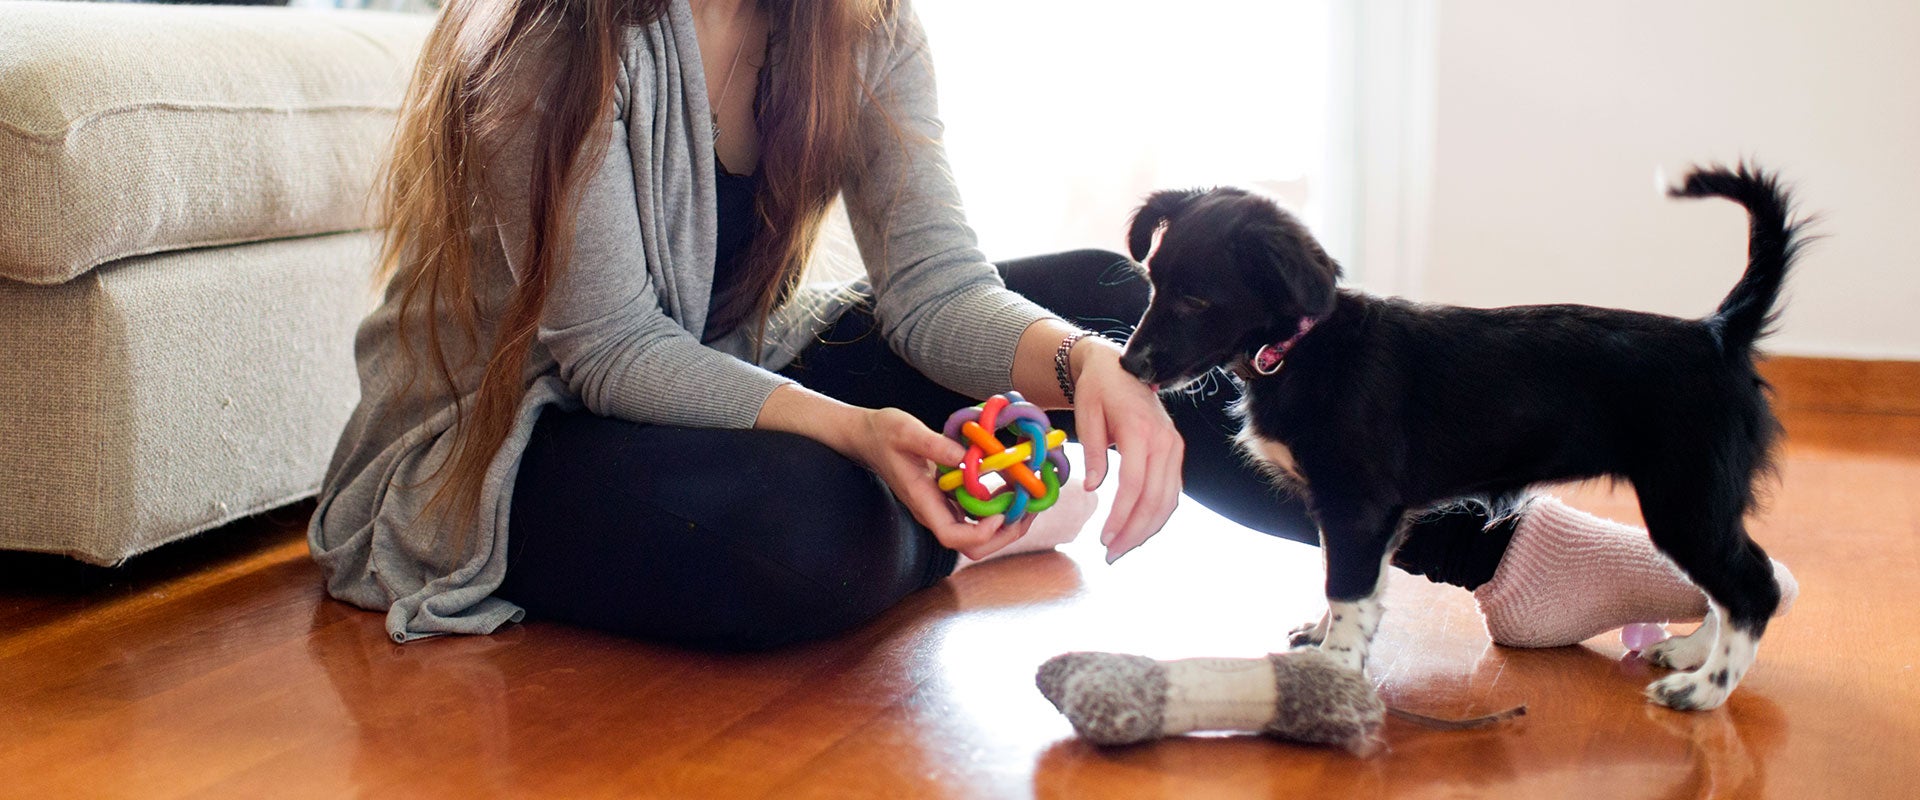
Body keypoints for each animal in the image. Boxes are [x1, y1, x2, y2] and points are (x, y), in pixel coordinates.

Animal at [1121, 164, 1804, 705]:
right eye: (1151, 281)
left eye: (1197, 300)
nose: (1128, 365)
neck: (1302, 348)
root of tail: (1718, 331)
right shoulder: (1366, 514)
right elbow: (1351, 583)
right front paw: (1323, 638)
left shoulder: (1357, 505)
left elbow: (1347, 586)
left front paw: (1334, 671)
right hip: (1696, 504)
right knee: (1739, 579)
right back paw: (1691, 653)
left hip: (1683, 499)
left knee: (1754, 586)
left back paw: (1703, 690)